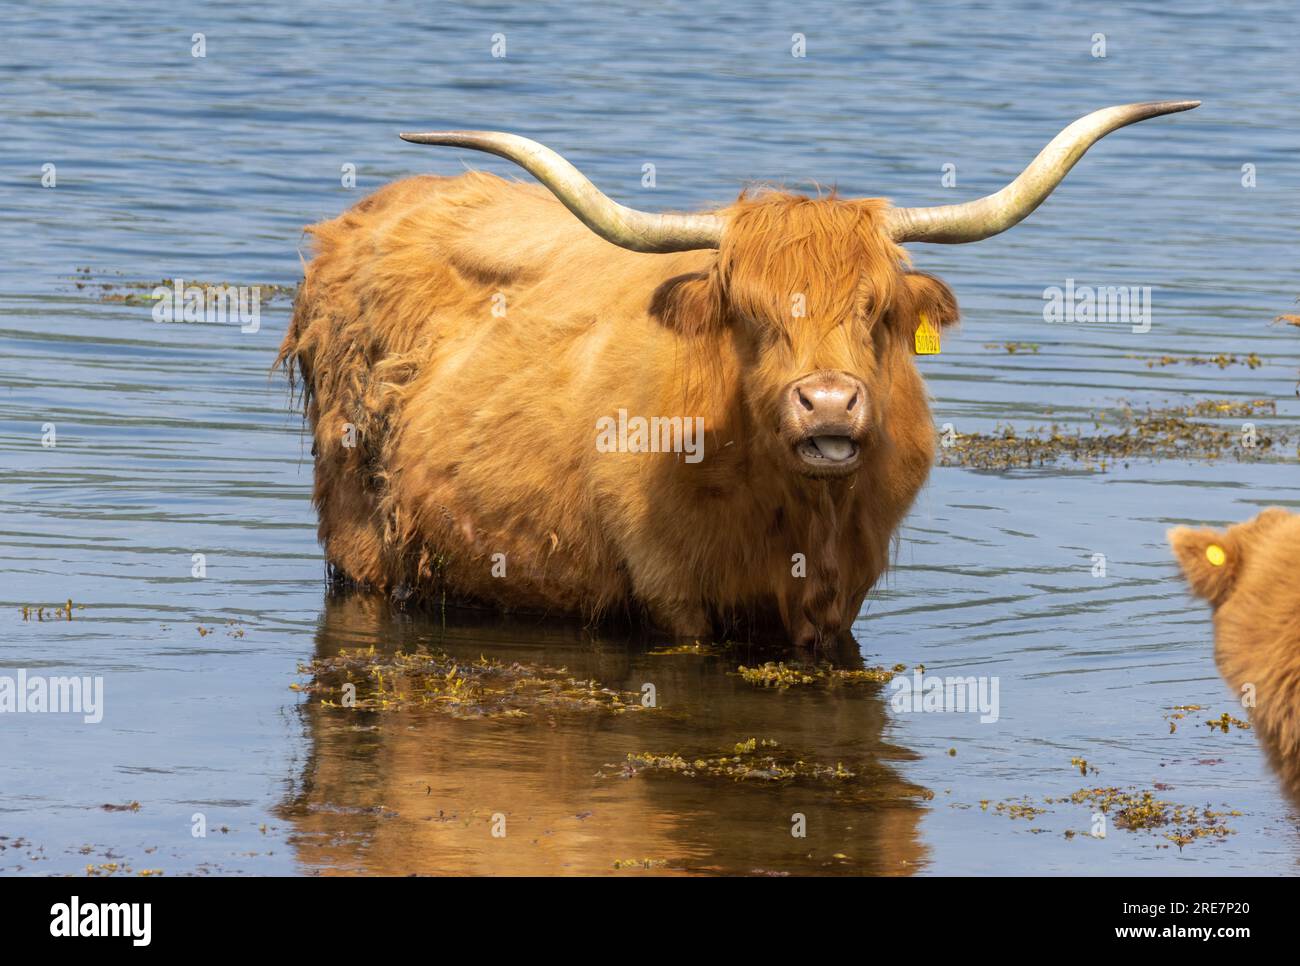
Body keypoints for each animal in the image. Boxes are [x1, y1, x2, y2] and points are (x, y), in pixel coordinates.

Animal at [278, 100, 1197, 648]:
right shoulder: (673, 599)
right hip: (358, 539)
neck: (797, 515)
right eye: (750, 315)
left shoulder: (841, 596)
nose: (828, 405)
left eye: (876, 311)